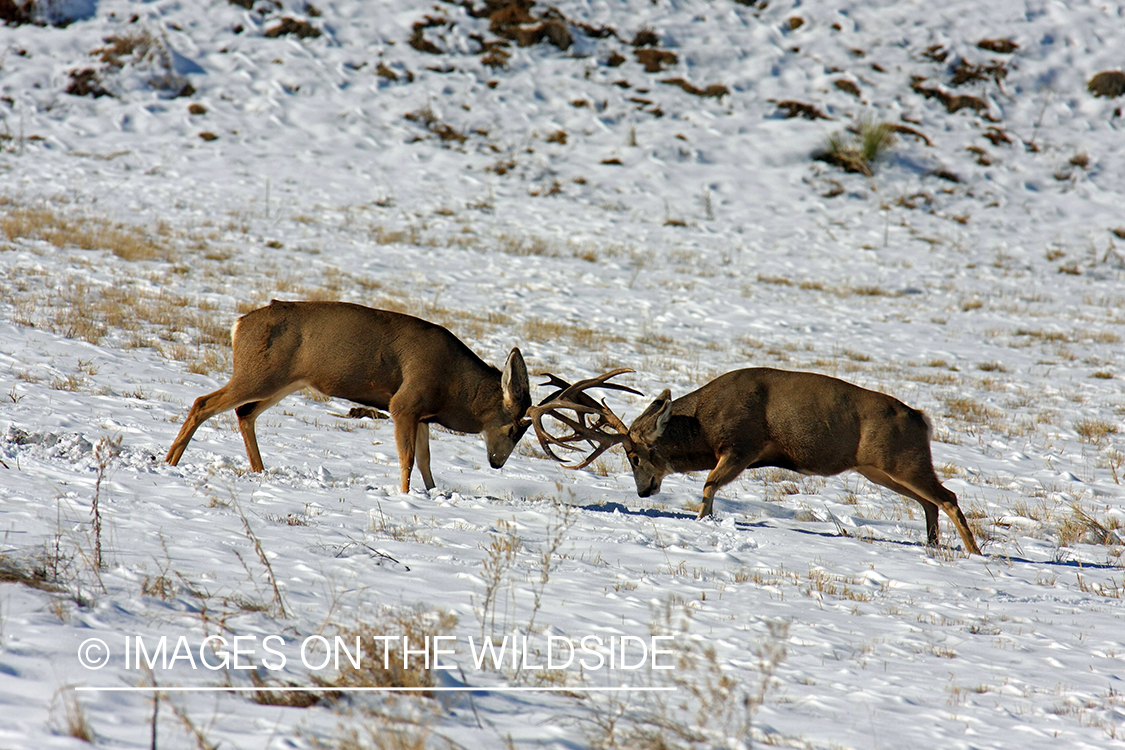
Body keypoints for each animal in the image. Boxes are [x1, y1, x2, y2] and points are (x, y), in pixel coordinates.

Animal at [165, 300, 532, 492]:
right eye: (514, 427)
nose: (497, 463)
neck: (454, 387)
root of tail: (238, 325)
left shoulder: (422, 413)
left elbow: (426, 460)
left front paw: (432, 494)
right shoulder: (404, 403)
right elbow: (408, 458)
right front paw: (405, 495)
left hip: (285, 381)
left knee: (245, 413)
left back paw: (259, 471)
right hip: (258, 374)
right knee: (203, 403)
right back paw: (170, 461)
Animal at [528, 367, 981, 555]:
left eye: (635, 454)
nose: (644, 491)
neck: (706, 425)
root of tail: (920, 418)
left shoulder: (741, 445)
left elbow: (709, 483)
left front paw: (703, 522)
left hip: (900, 459)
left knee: (948, 496)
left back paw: (975, 553)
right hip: (879, 468)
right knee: (929, 501)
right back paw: (933, 545)